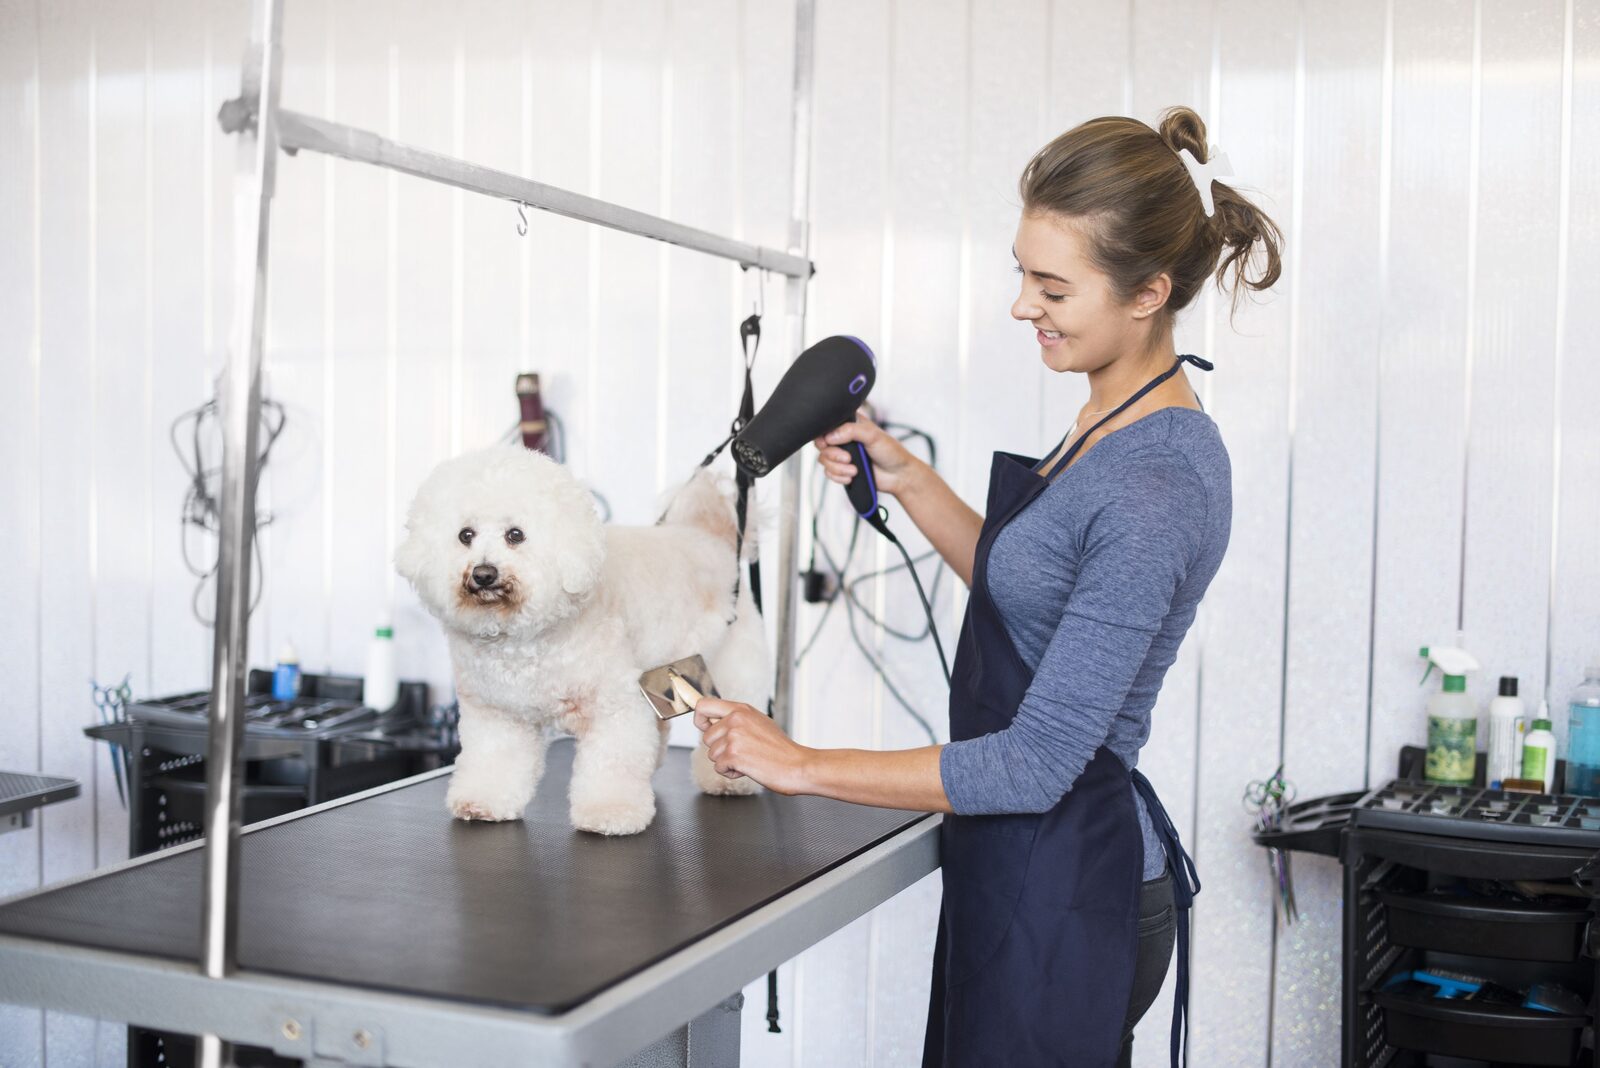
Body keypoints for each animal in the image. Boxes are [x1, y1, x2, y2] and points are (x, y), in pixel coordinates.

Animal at [390, 441, 758, 831]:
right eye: (465, 535)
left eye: (515, 535)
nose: (484, 573)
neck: (522, 640)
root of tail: (712, 536)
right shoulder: (497, 714)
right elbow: (495, 761)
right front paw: (484, 802)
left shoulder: (614, 705)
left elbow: (612, 764)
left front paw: (611, 812)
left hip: (729, 674)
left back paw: (728, 781)